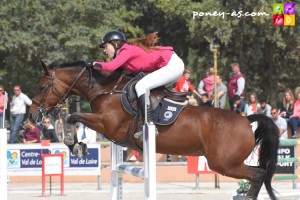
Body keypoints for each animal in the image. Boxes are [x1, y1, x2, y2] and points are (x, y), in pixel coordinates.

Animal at [29, 61, 280, 200]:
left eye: (41, 86)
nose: (32, 116)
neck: (106, 89)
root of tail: (246, 120)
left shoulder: (107, 125)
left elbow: (73, 116)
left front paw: (76, 145)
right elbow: (74, 117)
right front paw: (77, 145)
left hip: (224, 164)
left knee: (257, 175)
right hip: (226, 163)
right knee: (258, 175)